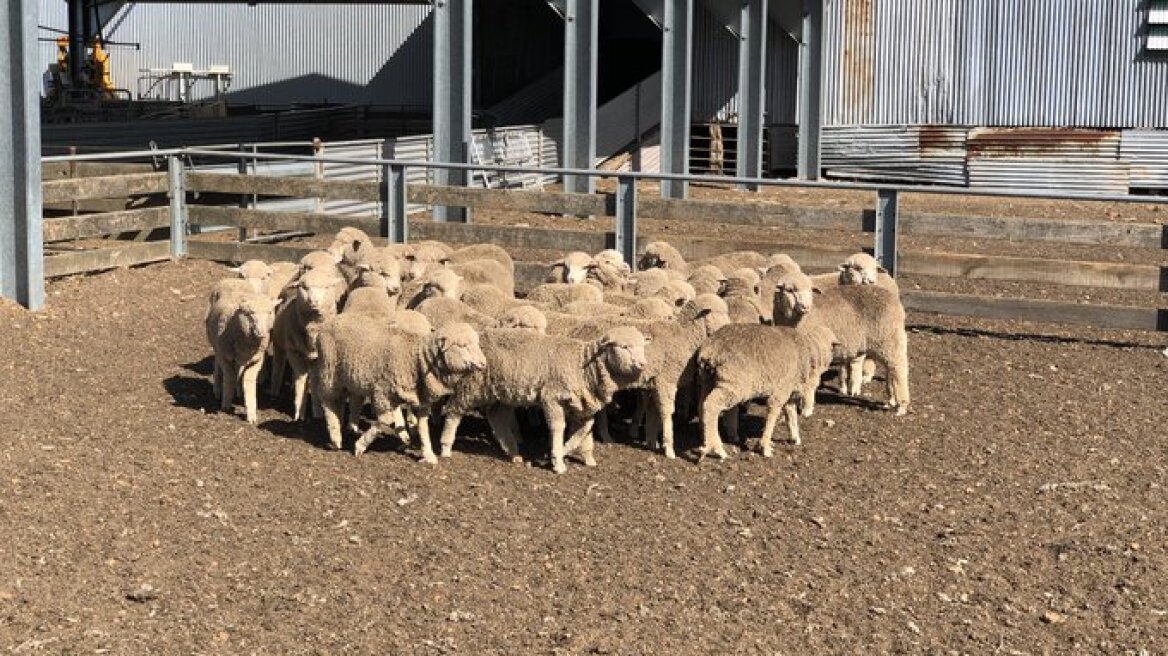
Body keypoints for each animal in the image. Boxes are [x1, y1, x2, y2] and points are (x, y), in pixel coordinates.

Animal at [203, 290, 277, 424]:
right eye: (250, 313)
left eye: (269, 312)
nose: (261, 333)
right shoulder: (225, 357)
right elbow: (229, 377)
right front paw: (225, 405)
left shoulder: (256, 361)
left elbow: (248, 382)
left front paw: (251, 413)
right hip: (217, 346)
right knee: (218, 366)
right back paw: (218, 390)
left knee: (238, 371)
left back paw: (238, 392)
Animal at [270, 267, 343, 415]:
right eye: (304, 287)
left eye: (327, 287)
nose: (313, 301)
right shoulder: (293, 352)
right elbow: (301, 379)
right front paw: (298, 412)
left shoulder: (318, 358)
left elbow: (314, 382)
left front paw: (317, 412)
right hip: (279, 342)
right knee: (278, 364)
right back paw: (275, 391)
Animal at [439, 324, 654, 469]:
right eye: (624, 347)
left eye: (642, 346)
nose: (643, 364)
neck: (582, 366)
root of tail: (480, 336)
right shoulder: (552, 398)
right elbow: (558, 427)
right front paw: (557, 460)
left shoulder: (583, 405)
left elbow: (584, 431)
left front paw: (578, 454)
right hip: (471, 385)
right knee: (453, 411)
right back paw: (446, 447)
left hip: (503, 393)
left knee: (496, 417)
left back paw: (512, 452)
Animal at [691, 322, 840, 459]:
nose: (808, 413)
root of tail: (711, 349)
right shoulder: (782, 390)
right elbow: (773, 413)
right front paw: (764, 446)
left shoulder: (789, 390)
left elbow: (791, 414)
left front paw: (795, 437)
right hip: (733, 382)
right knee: (711, 405)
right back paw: (716, 447)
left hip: (708, 379)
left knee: (702, 406)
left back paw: (707, 436)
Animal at [775, 268, 911, 410]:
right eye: (789, 290)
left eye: (810, 290)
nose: (805, 306)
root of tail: (895, 301)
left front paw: (806, 407)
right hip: (886, 344)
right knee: (890, 369)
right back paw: (891, 400)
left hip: (889, 339)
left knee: (899, 368)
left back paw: (901, 405)